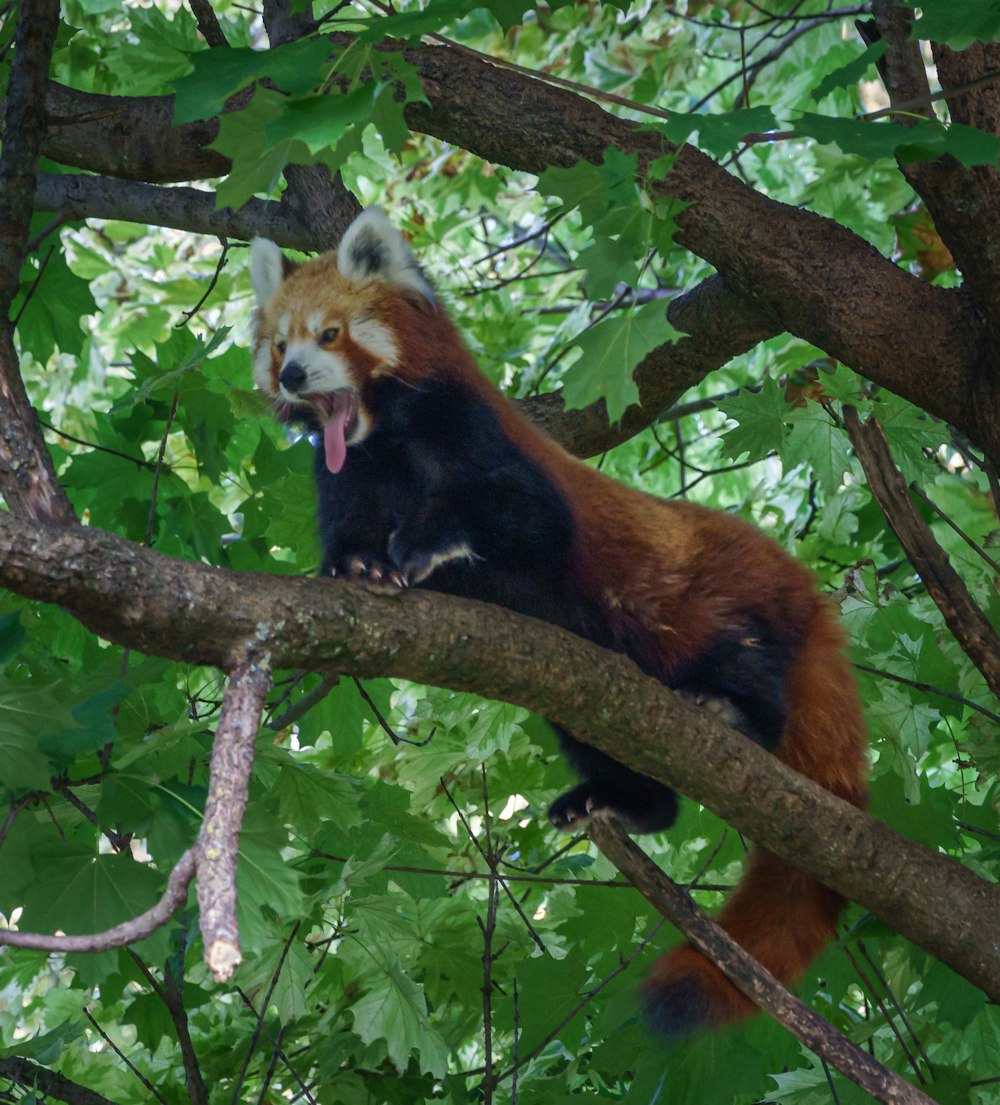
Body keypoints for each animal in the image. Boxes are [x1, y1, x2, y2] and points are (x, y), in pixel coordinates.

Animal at [247, 207, 866, 1034]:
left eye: (332, 334)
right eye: (281, 344)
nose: (291, 376)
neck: (385, 440)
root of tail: (801, 584)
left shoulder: (484, 441)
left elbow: (520, 515)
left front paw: (425, 541)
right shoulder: (347, 477)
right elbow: (349, 533)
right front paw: (360, 566)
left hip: (718, 602)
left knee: (744, 665)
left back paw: (730, 707)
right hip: (593, 702)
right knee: (600, 740)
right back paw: (621, 800)